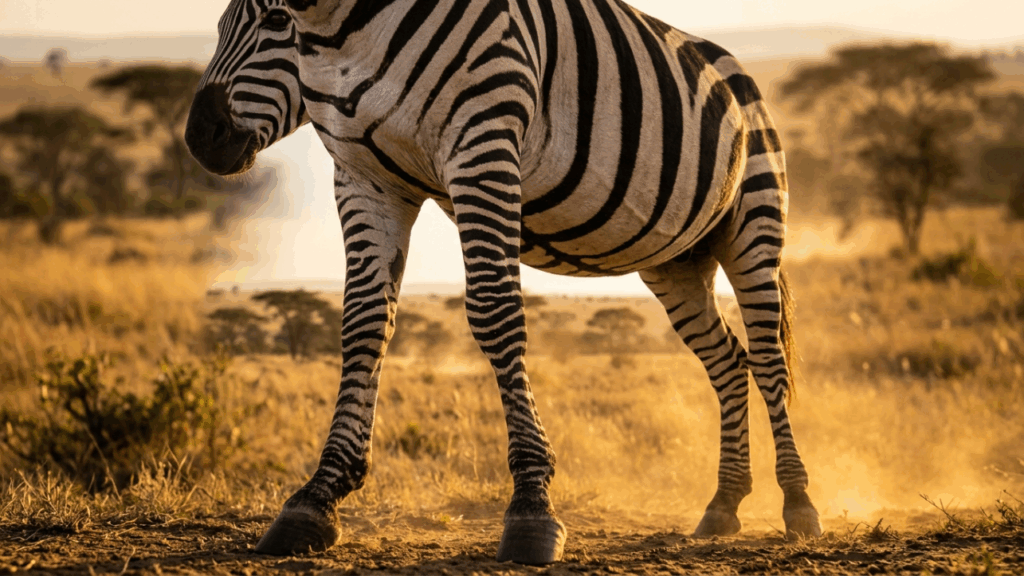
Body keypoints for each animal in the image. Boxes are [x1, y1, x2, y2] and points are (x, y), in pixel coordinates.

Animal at [185, 0, 823, 564]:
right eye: (217, 24)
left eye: (277, 23)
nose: (199, 137)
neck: (350, 29)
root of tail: (735, 71)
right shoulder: (365, 175)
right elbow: (363, 325)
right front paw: (318, 497)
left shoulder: (483, 143)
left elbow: (494, 313)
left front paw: (532, 508)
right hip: (678, 262)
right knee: (728, 361)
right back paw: (724, 504)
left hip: (752, 224)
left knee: (768, 360)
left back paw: (798, 504)